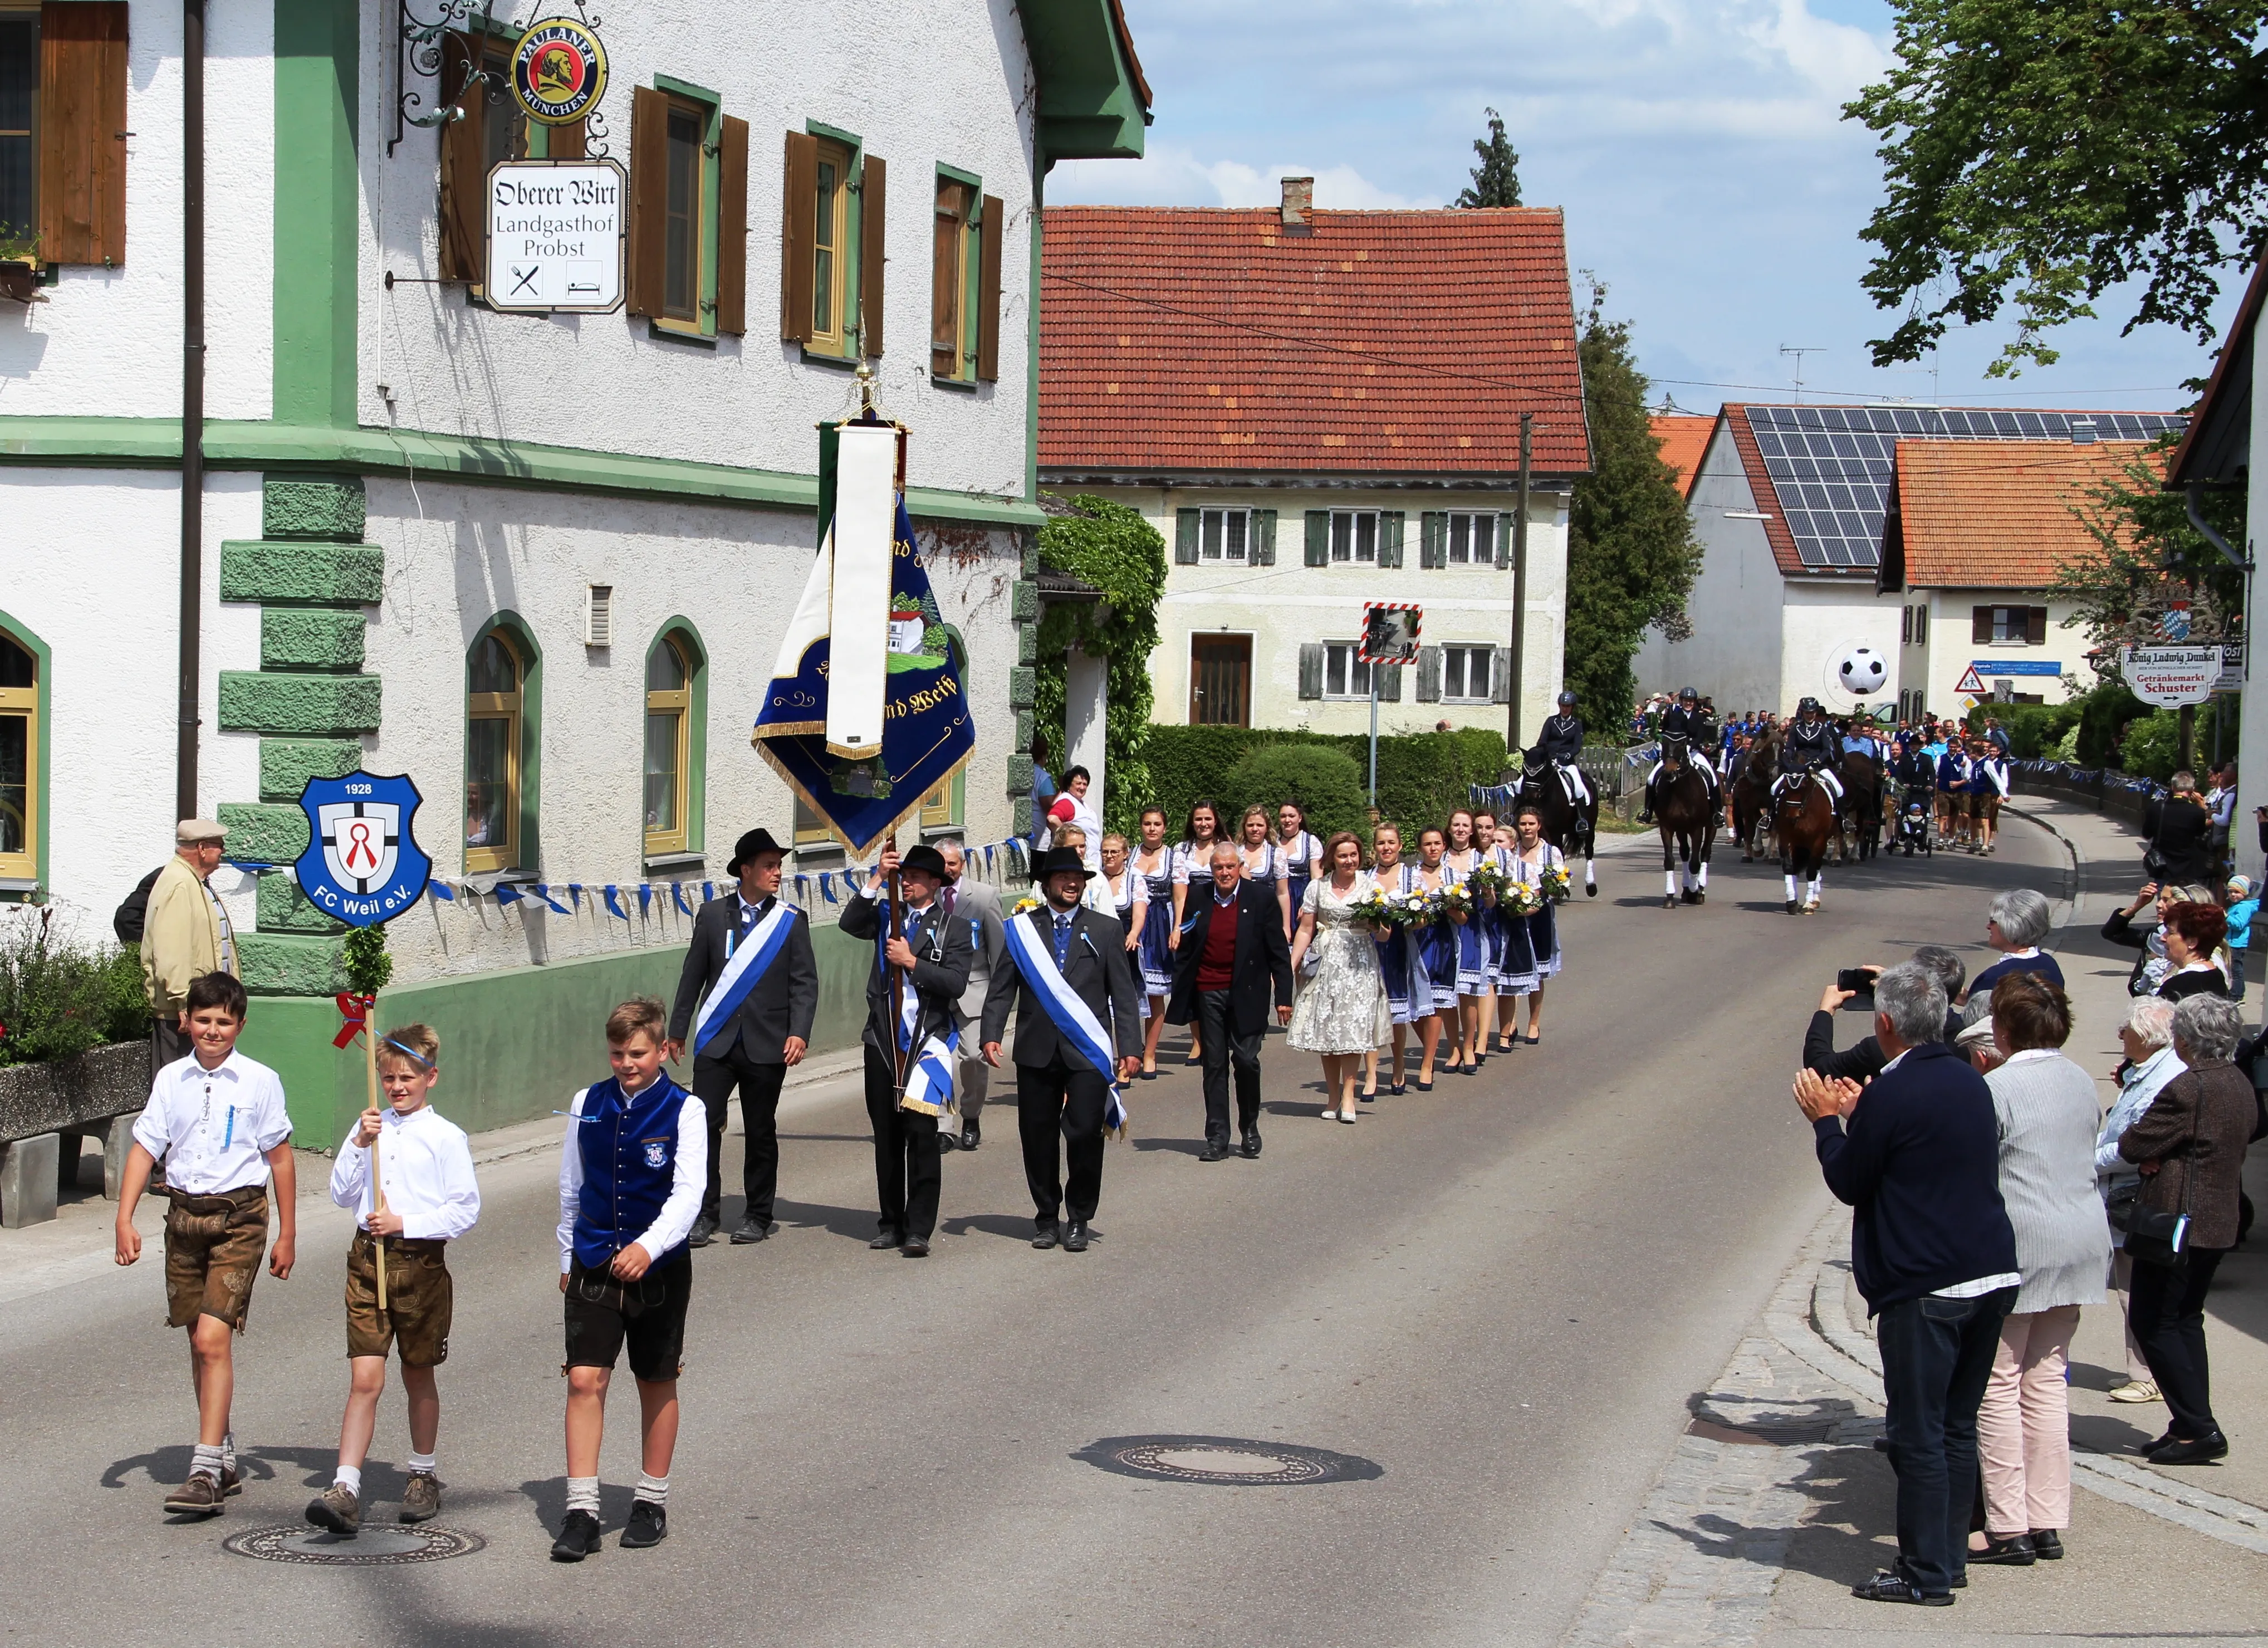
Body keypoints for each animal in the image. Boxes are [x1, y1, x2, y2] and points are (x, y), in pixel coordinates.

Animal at [1515, 762, 1605, 903]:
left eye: (1542, 767)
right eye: (1525, 766)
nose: (1530, 795)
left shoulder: (1555, 832)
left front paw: (1559, 889)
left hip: (1590, 828)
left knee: (1589, 851)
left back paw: (1591, 887)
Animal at [1660, 740, 1705, 908]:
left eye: (1681, 745)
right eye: (1664, 743)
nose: (1669, 773)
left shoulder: (1698, 829)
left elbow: (1695, 863)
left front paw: (1694, 893)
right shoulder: (1666, 828)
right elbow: (1669, 861)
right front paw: (1669, 897)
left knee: (1705, 854)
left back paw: (1699, 891)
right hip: (1681, 830)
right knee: (1685, 853)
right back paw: (1686, 891)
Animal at [1769, 771, 1841, 917]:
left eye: (1803, 787)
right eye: (1785, 786)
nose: (1792, 816)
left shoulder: (1819, 840)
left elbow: (1812, 871)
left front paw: (1808, 905)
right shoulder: (1785, 837)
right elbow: (1789, 867)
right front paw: (1792, 902)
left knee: (1816, 867)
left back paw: (1814, 900)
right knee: (1798, 867)